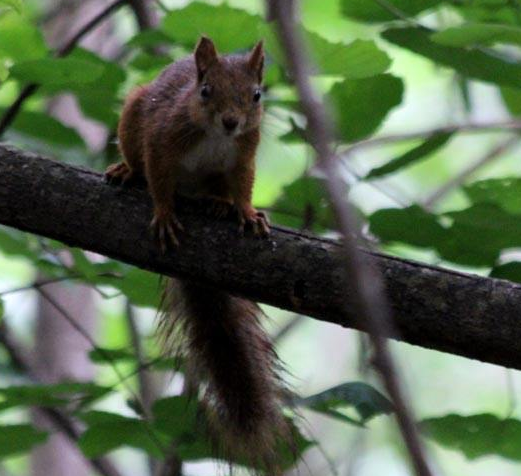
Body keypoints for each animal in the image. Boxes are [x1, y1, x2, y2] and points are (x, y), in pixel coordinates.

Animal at [105, 36, 288, 472]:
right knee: (140, 163)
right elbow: (158, 176)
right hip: (134, 112)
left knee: (217, 192)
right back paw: (127, 171)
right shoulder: (162, 135)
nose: (231, 122)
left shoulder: (244, 154)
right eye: (205, 91)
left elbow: (243, 185)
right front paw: (164, 214)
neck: (215, 136)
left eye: (257, 95)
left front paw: (247, 213)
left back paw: (218, 205)